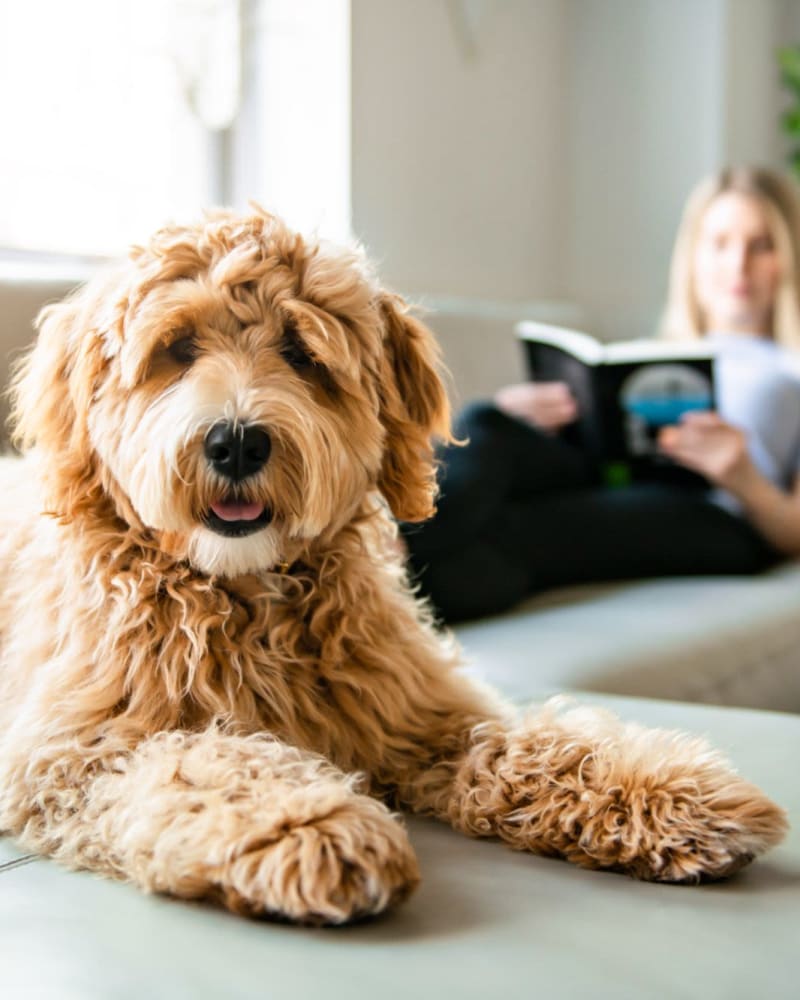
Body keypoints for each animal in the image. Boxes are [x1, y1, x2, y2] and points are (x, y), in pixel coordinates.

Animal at [0, 209, 788, 920]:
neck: (244, 591)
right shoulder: (70, 754)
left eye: (301, 352)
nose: (237, 443)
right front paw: (307, 825)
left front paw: (670, 792)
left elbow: (531, 741)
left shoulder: (421, 711)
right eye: (180, 346)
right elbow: (198, 761)